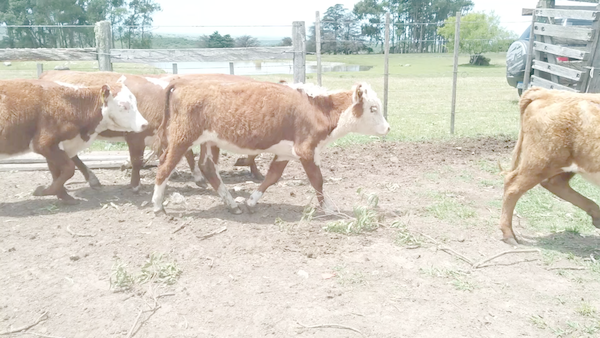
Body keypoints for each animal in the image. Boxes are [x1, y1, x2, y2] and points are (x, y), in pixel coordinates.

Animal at [0, 78, 146, 202]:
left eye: (136, 103)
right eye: (123, 106)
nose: (144, 124)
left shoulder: (55, 146)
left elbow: (57, 172)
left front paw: (63, 197)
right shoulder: (43, 144)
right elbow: (69, 168)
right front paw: (43, 191)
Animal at [152, 78, 392, 213]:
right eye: (373, 108)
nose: (388, 128)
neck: (318, 109)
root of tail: (183, 84)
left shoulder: (286, 153)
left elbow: (272, 177)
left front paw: (251, 202)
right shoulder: (307, 150)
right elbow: (317, 180)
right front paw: (328, 207)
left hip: (208, 141)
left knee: (207, 167)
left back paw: (232, 205)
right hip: (182, 138)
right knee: (165, 166)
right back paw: (157, 205)